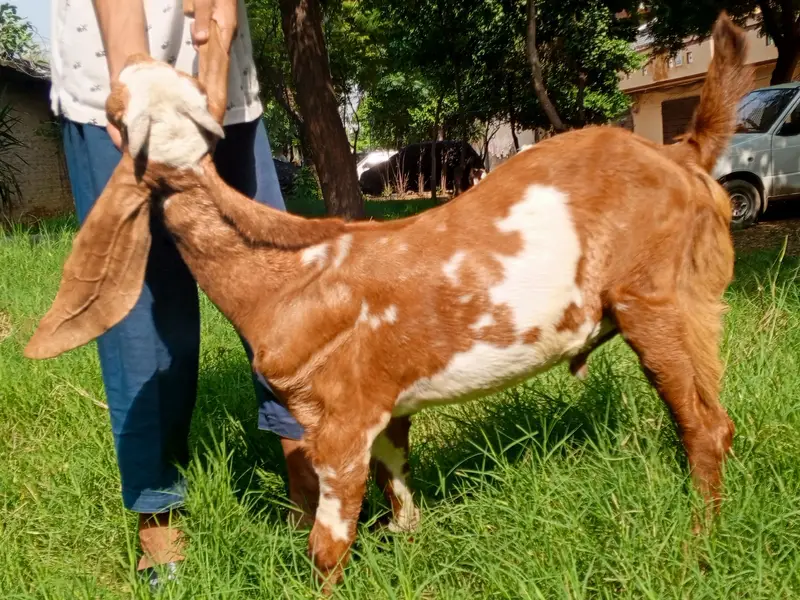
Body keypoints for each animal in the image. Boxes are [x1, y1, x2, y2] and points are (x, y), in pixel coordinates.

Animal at [24, 12, 752, 590]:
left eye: (116, 116)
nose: (134, 61)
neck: (283, 278)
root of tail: (683, 155)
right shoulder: (386, 404)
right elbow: (396, 476)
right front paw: (408, 541)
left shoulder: (342, 416)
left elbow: (328, 543)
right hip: (691, 300)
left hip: (655, 294)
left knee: (705, 425)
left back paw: (696, 548)